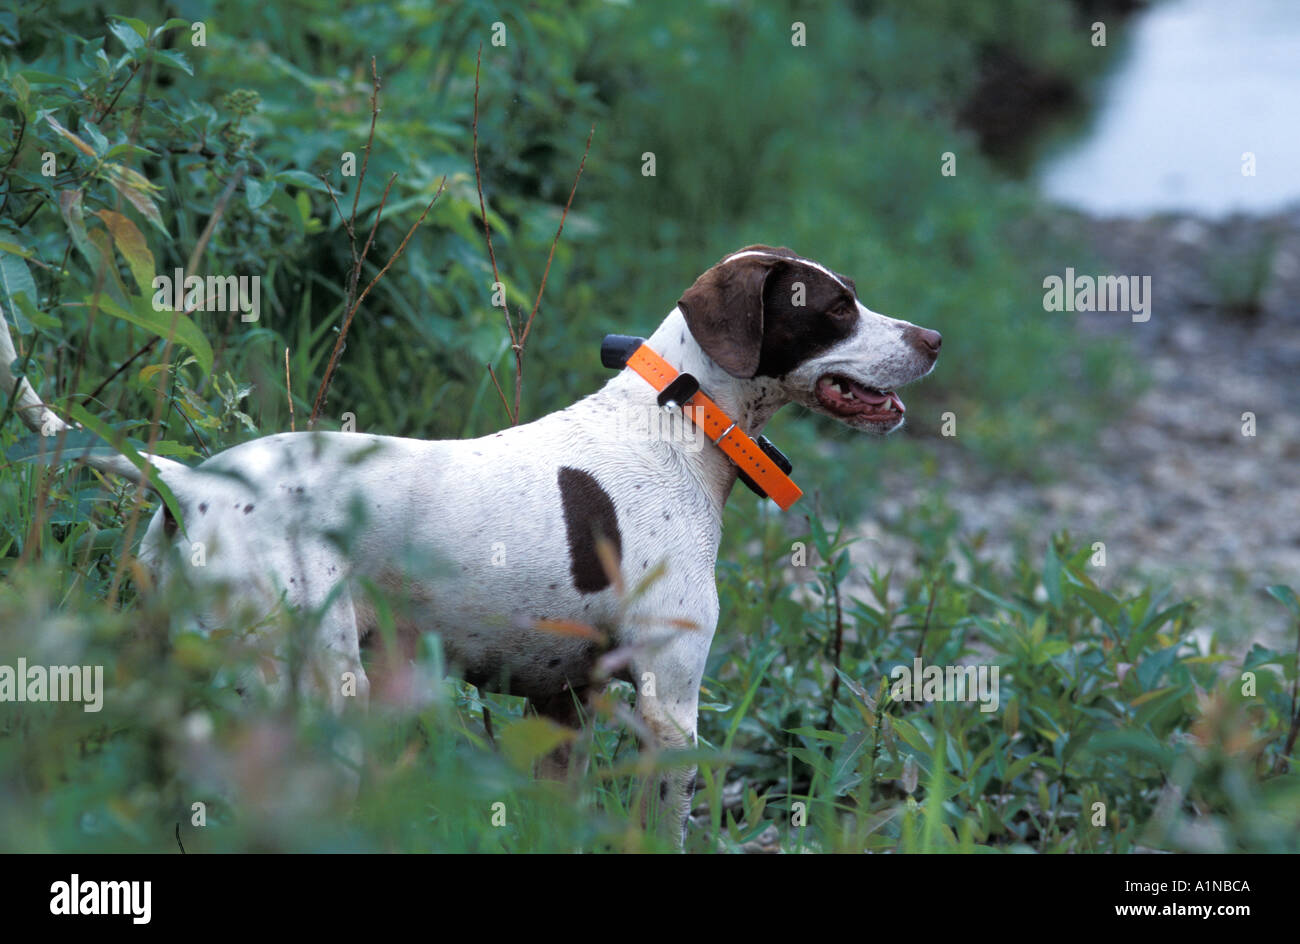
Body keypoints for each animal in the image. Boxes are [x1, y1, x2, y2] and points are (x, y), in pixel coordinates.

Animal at [0, 244, 941, 842]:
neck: (680, 418)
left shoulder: (562, 705)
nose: (933, 339)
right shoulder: (669, 706)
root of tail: (185, 482)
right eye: (836, 308)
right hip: (316, 686)